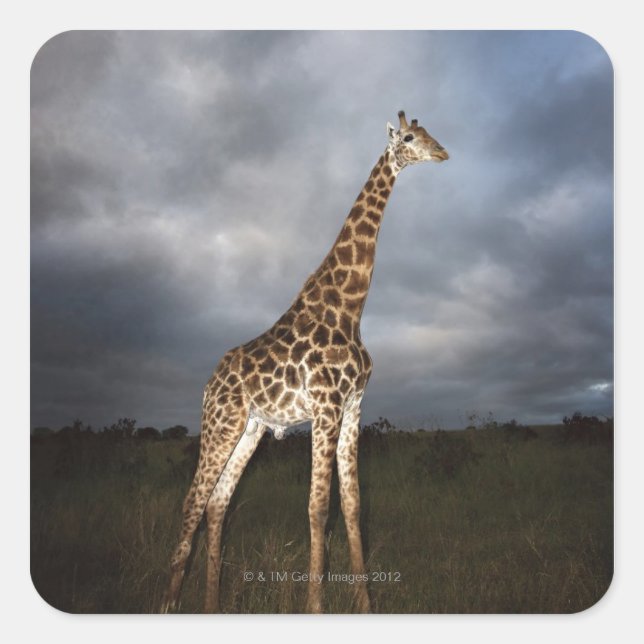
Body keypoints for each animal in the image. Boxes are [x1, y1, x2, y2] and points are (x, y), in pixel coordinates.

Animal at [161, 110, 448, 614]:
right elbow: (317, 507)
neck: (350, 306)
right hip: (221, 422)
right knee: (193, 500)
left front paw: (366, 604)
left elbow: (352, 504)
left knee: (218, 502)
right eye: (411, 138)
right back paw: (168, 604)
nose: (443, 152)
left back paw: (213, 604)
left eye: (430, 133)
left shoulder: (353, 408)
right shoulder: (325, 407)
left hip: (250, 428)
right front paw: (315, 605)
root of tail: (208, 384)